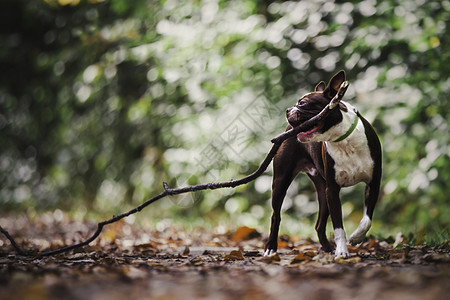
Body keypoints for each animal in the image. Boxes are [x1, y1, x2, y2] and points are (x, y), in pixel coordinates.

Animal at [264, 71, 384, 258]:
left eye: (303, 103)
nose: (288, 110)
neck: (343, 140)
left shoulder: (373, 183)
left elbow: (367, 220)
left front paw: (356, 237)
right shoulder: (333, 190)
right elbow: (338, 226)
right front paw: (342, 251)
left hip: (322, 190)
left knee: (319, 225)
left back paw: (328, 248)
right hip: (281, 182)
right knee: (276, 216)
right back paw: (271, 247)